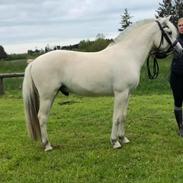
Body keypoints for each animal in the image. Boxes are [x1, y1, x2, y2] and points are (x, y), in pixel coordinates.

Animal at [22, 16, 182, 152]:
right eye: (168, 32)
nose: (180, 50)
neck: (128, 55)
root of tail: (34, 62)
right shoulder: (120, 93)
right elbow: (116, 117)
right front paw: (115, 142)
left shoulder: (128, 94)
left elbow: (123, 116)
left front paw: (123, 138)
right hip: (47, 96)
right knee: (42, 117)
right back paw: (47, 145)